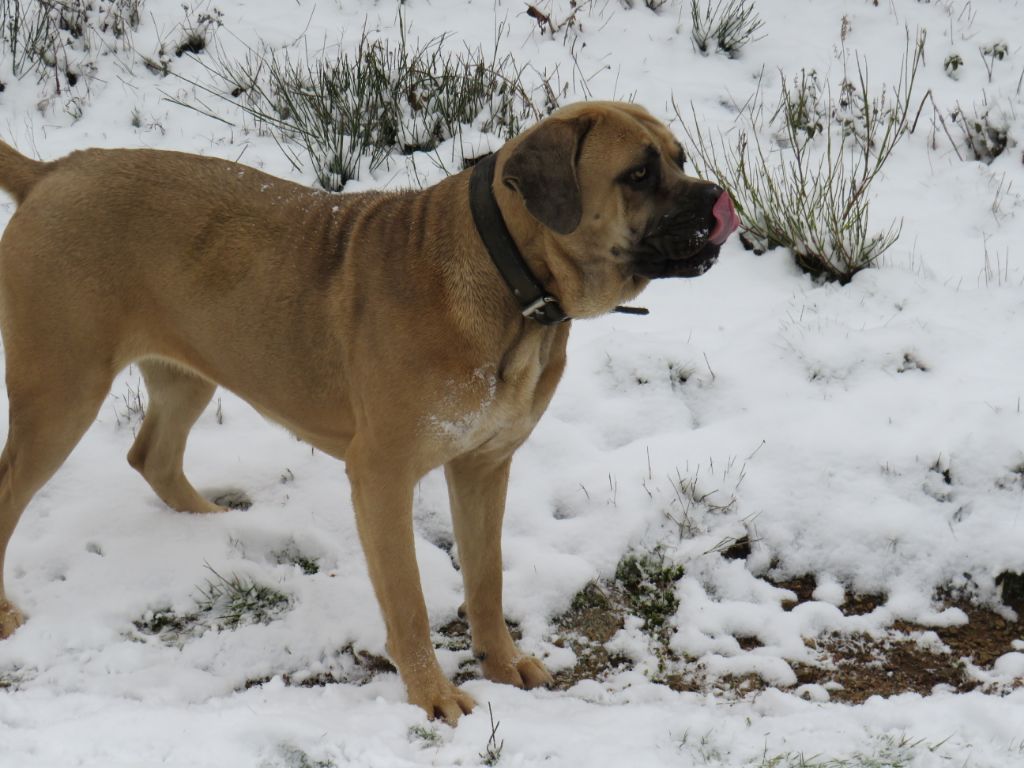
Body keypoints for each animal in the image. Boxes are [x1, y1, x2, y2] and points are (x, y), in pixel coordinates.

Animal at [0, 103, 737, 729]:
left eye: (678, 157)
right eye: (638, 174)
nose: (716, 198)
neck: (513, 286)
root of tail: (51, 172)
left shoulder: (484, 465)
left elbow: (487, 577)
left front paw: (501, 663)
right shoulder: (382, 474)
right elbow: (407, 599)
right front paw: (432, 695)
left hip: (190, 371)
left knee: (152, 455)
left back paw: (212, 524)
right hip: (61, 392)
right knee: (19, 487)